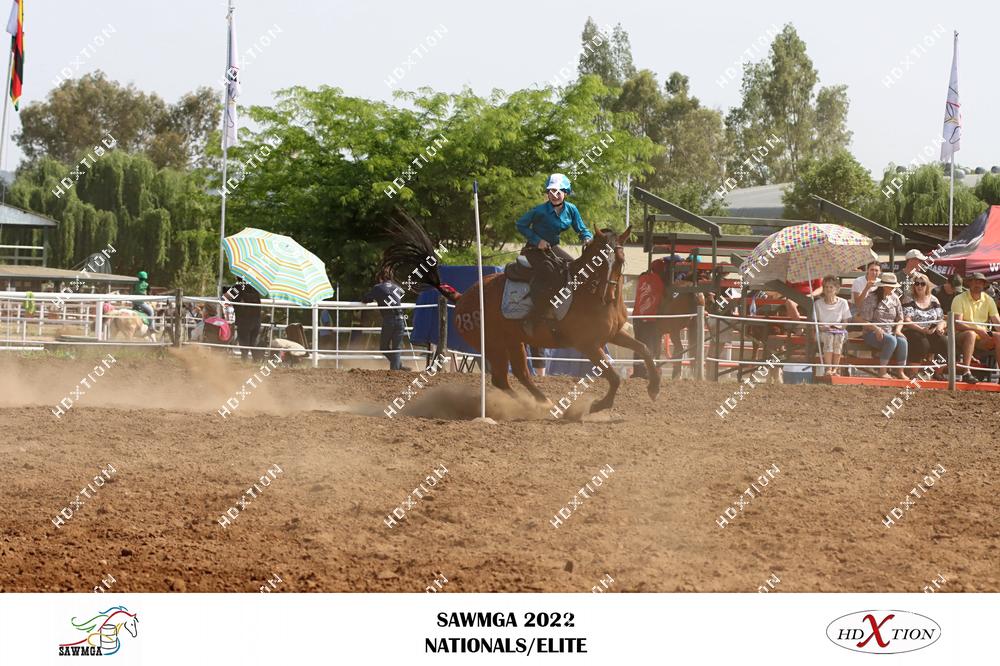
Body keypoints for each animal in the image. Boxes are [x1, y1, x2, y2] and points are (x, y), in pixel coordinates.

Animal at [381, 212, 660, 413]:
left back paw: (542, 403)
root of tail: (461, 299)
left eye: (620, 261)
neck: (587, 294)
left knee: (520, 375)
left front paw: (654, 387)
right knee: (502, 380)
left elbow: (645, 349)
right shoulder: (588, 344)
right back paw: (530, 405)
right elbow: (614, 377)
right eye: (598, 262)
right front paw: (599, 405)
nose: (606, 295)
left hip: (513, 342)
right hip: (494, 345)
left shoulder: (613, 335)